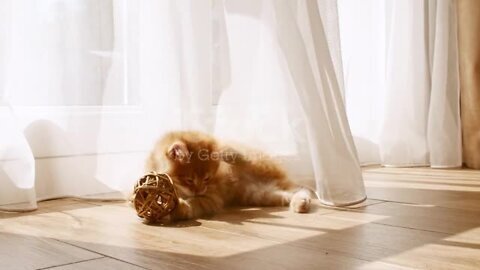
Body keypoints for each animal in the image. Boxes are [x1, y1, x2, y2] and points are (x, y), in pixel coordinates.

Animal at [144, 130, 314, 220]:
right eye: (189, 180)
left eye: (207, 179)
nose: (200, 190)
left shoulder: (211, 198)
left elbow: (196, 202)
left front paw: (180, 207)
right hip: (259, 193)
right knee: (289, 192)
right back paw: (300, 203)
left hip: (258, 167)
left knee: (301, 188)